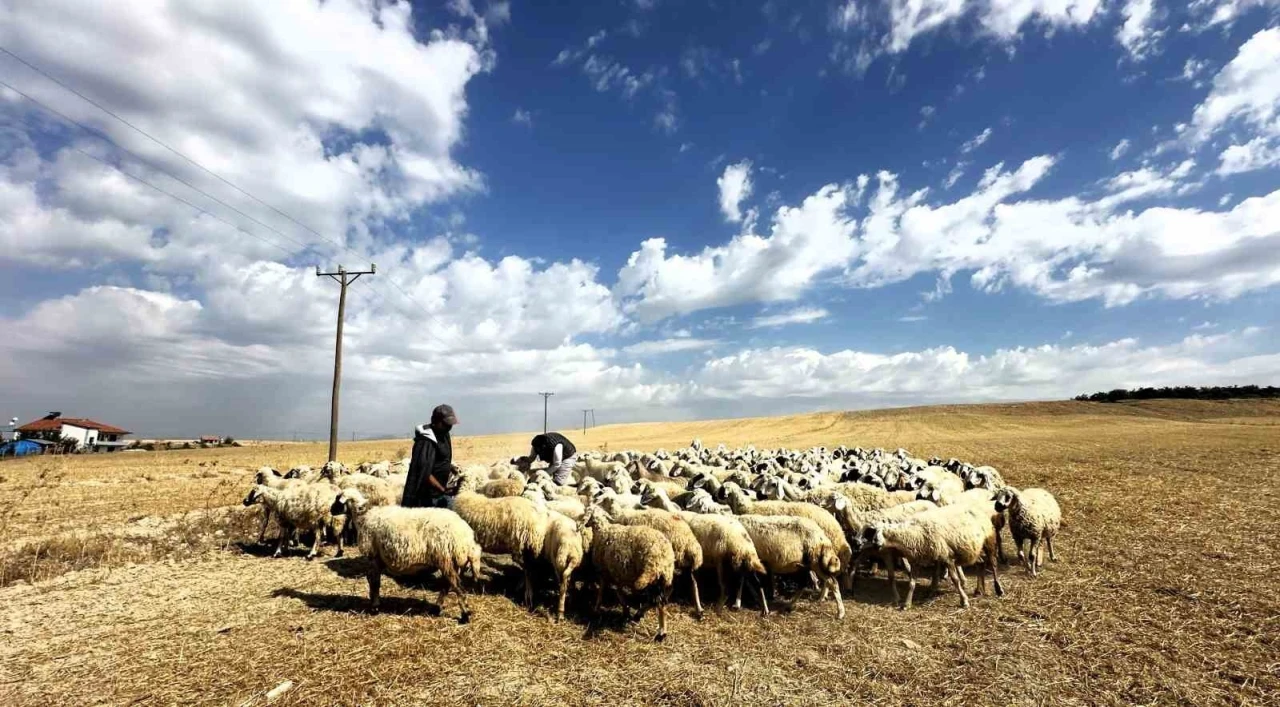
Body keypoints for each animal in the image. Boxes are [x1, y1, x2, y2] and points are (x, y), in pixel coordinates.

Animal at [332, 489, 481, 622]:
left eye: (338, 499)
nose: (331, 510)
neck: (363, 516)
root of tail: (467, 539)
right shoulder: (378, 559)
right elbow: (374, 582)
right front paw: (374, 603)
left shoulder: (373, 556)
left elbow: (374, 583)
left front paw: (375, 607)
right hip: (454, 563)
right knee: (447, 586)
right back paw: (436, 609)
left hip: (446, 559)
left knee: (457, 588)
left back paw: (465, 615)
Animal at [583, 502, 680, 640]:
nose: (585, 525)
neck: (602, 530)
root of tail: (663, 554)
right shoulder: (617, 573)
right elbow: (618, 592)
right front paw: (626, 610)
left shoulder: (604, 572)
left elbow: (603, 592)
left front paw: (597, 608)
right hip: (663, 578)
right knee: (658, 601)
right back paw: (639, 615)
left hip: (651, 577)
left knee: (658, 603)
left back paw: (661, 632)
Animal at [865, 502, 1003, 607]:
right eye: (873, 533)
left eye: (880, 533)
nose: (876, 545)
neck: (914, 533)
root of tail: (979, 510)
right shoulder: (919, 559)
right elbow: (912, 583)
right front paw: (907, 603)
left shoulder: (947, 557)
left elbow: (955, 580)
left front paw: (964, 601)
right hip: (974, 548)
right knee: (981, 563)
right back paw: (979, 590)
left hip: (989, 541)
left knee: (993, 564)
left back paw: (998, 589)